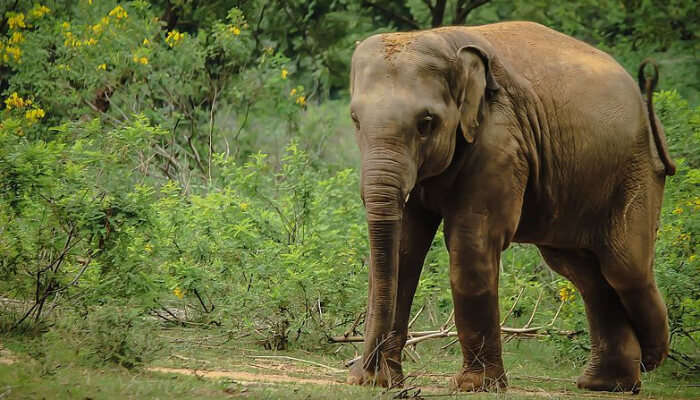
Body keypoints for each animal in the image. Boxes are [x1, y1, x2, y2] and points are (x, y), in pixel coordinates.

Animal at [348, 20, 676, 392]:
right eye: (355, 119)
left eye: (426, 123)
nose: (365, 370)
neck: (445, 40)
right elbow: (406, 248)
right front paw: (379, 380)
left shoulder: (501, 139)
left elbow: (472, 242)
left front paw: (474, 386)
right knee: (583, 271)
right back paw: (606, 383)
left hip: (635, 170)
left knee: (625, 268)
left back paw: (648, 359)